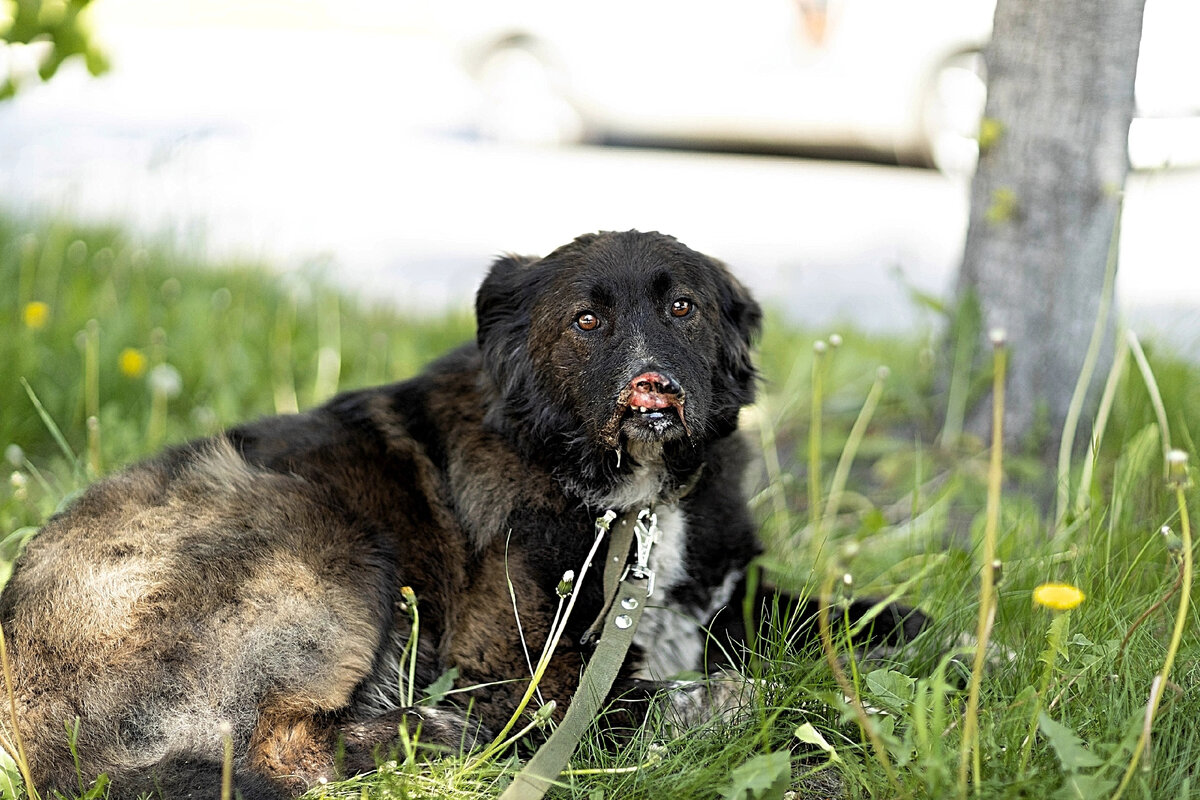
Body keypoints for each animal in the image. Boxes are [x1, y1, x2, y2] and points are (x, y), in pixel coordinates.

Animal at [0, 227, 921, 796]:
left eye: (682, 307)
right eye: (588, 320)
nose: (651, 384)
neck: (629, 500)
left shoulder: (724, 592)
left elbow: (854, 619)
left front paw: (920, 644)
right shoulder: (525, 667)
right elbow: (658, 697)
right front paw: (784, 706)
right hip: (323, 536)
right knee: (283, 750)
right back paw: (437, 736)